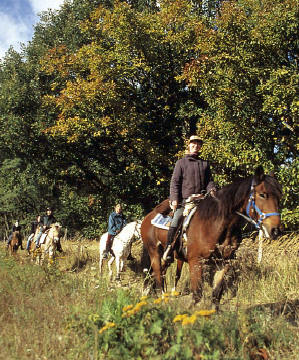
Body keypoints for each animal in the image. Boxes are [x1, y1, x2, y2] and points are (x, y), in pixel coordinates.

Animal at [142, 167, 284, 306]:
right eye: (262, 194)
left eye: (279, 197)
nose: (275, 230)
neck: (215, 224)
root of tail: (147, 218)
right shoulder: (196, 262)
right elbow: (197, 296)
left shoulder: (223, 263)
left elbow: (216, 295)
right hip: (154, 253)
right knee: (158, 276)